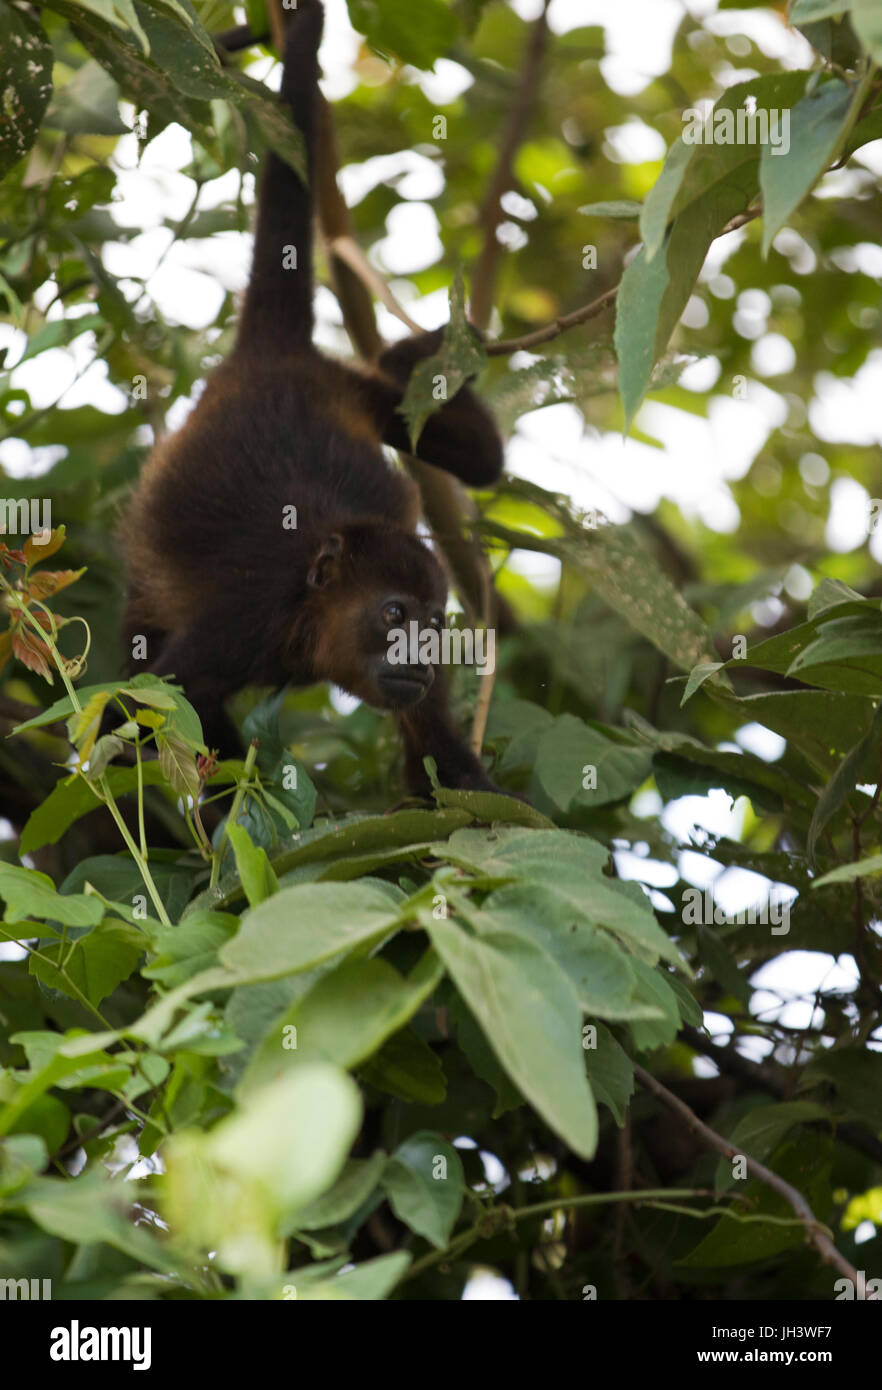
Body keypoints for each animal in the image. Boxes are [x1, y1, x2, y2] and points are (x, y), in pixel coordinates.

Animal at [118, 0, 502, 795]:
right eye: (393, 613)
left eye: (434, 626)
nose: (419, 657)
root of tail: (272, 355)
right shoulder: (244, 618)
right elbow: (143, 715)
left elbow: (444, 768)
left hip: (351, 388)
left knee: (483, 460)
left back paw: (416, 355)